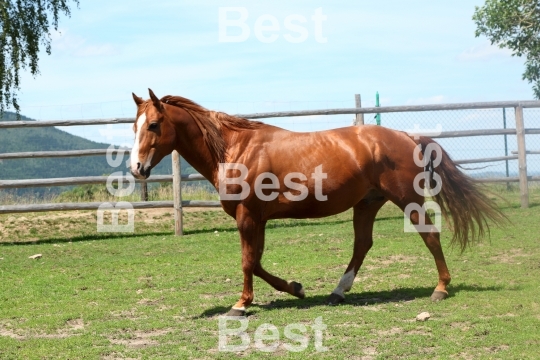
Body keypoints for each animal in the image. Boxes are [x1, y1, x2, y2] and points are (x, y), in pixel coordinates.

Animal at [129, 89, 504, 316]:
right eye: (135, 126)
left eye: (154, 124)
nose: (137, 168)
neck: (235, 149)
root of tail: (407, 137)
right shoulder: (258, 218)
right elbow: (258, 261)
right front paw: (296, 289)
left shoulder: (247, 215)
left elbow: (248, 261)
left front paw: (241, 304)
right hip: (367, 203)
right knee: (362, 245)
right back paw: (337, 292)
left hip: (406, 199)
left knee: (429, 235)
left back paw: (440, 288)